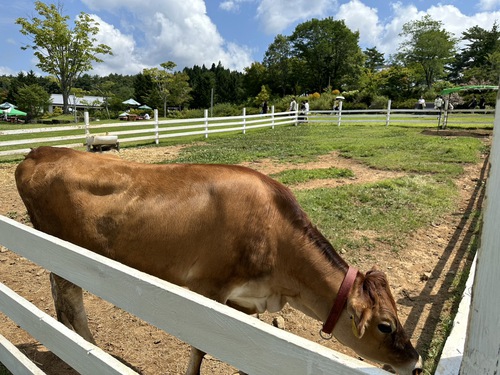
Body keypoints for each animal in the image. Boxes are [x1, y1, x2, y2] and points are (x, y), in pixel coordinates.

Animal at [15, 147, 422, 375]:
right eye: (385, 325)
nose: (415, 364)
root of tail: (40, 151)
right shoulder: (207, 289)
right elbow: (200, 349)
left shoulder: (247, 300)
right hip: (62, 246)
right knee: (71, 297)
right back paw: (88, 346)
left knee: (62, 293)